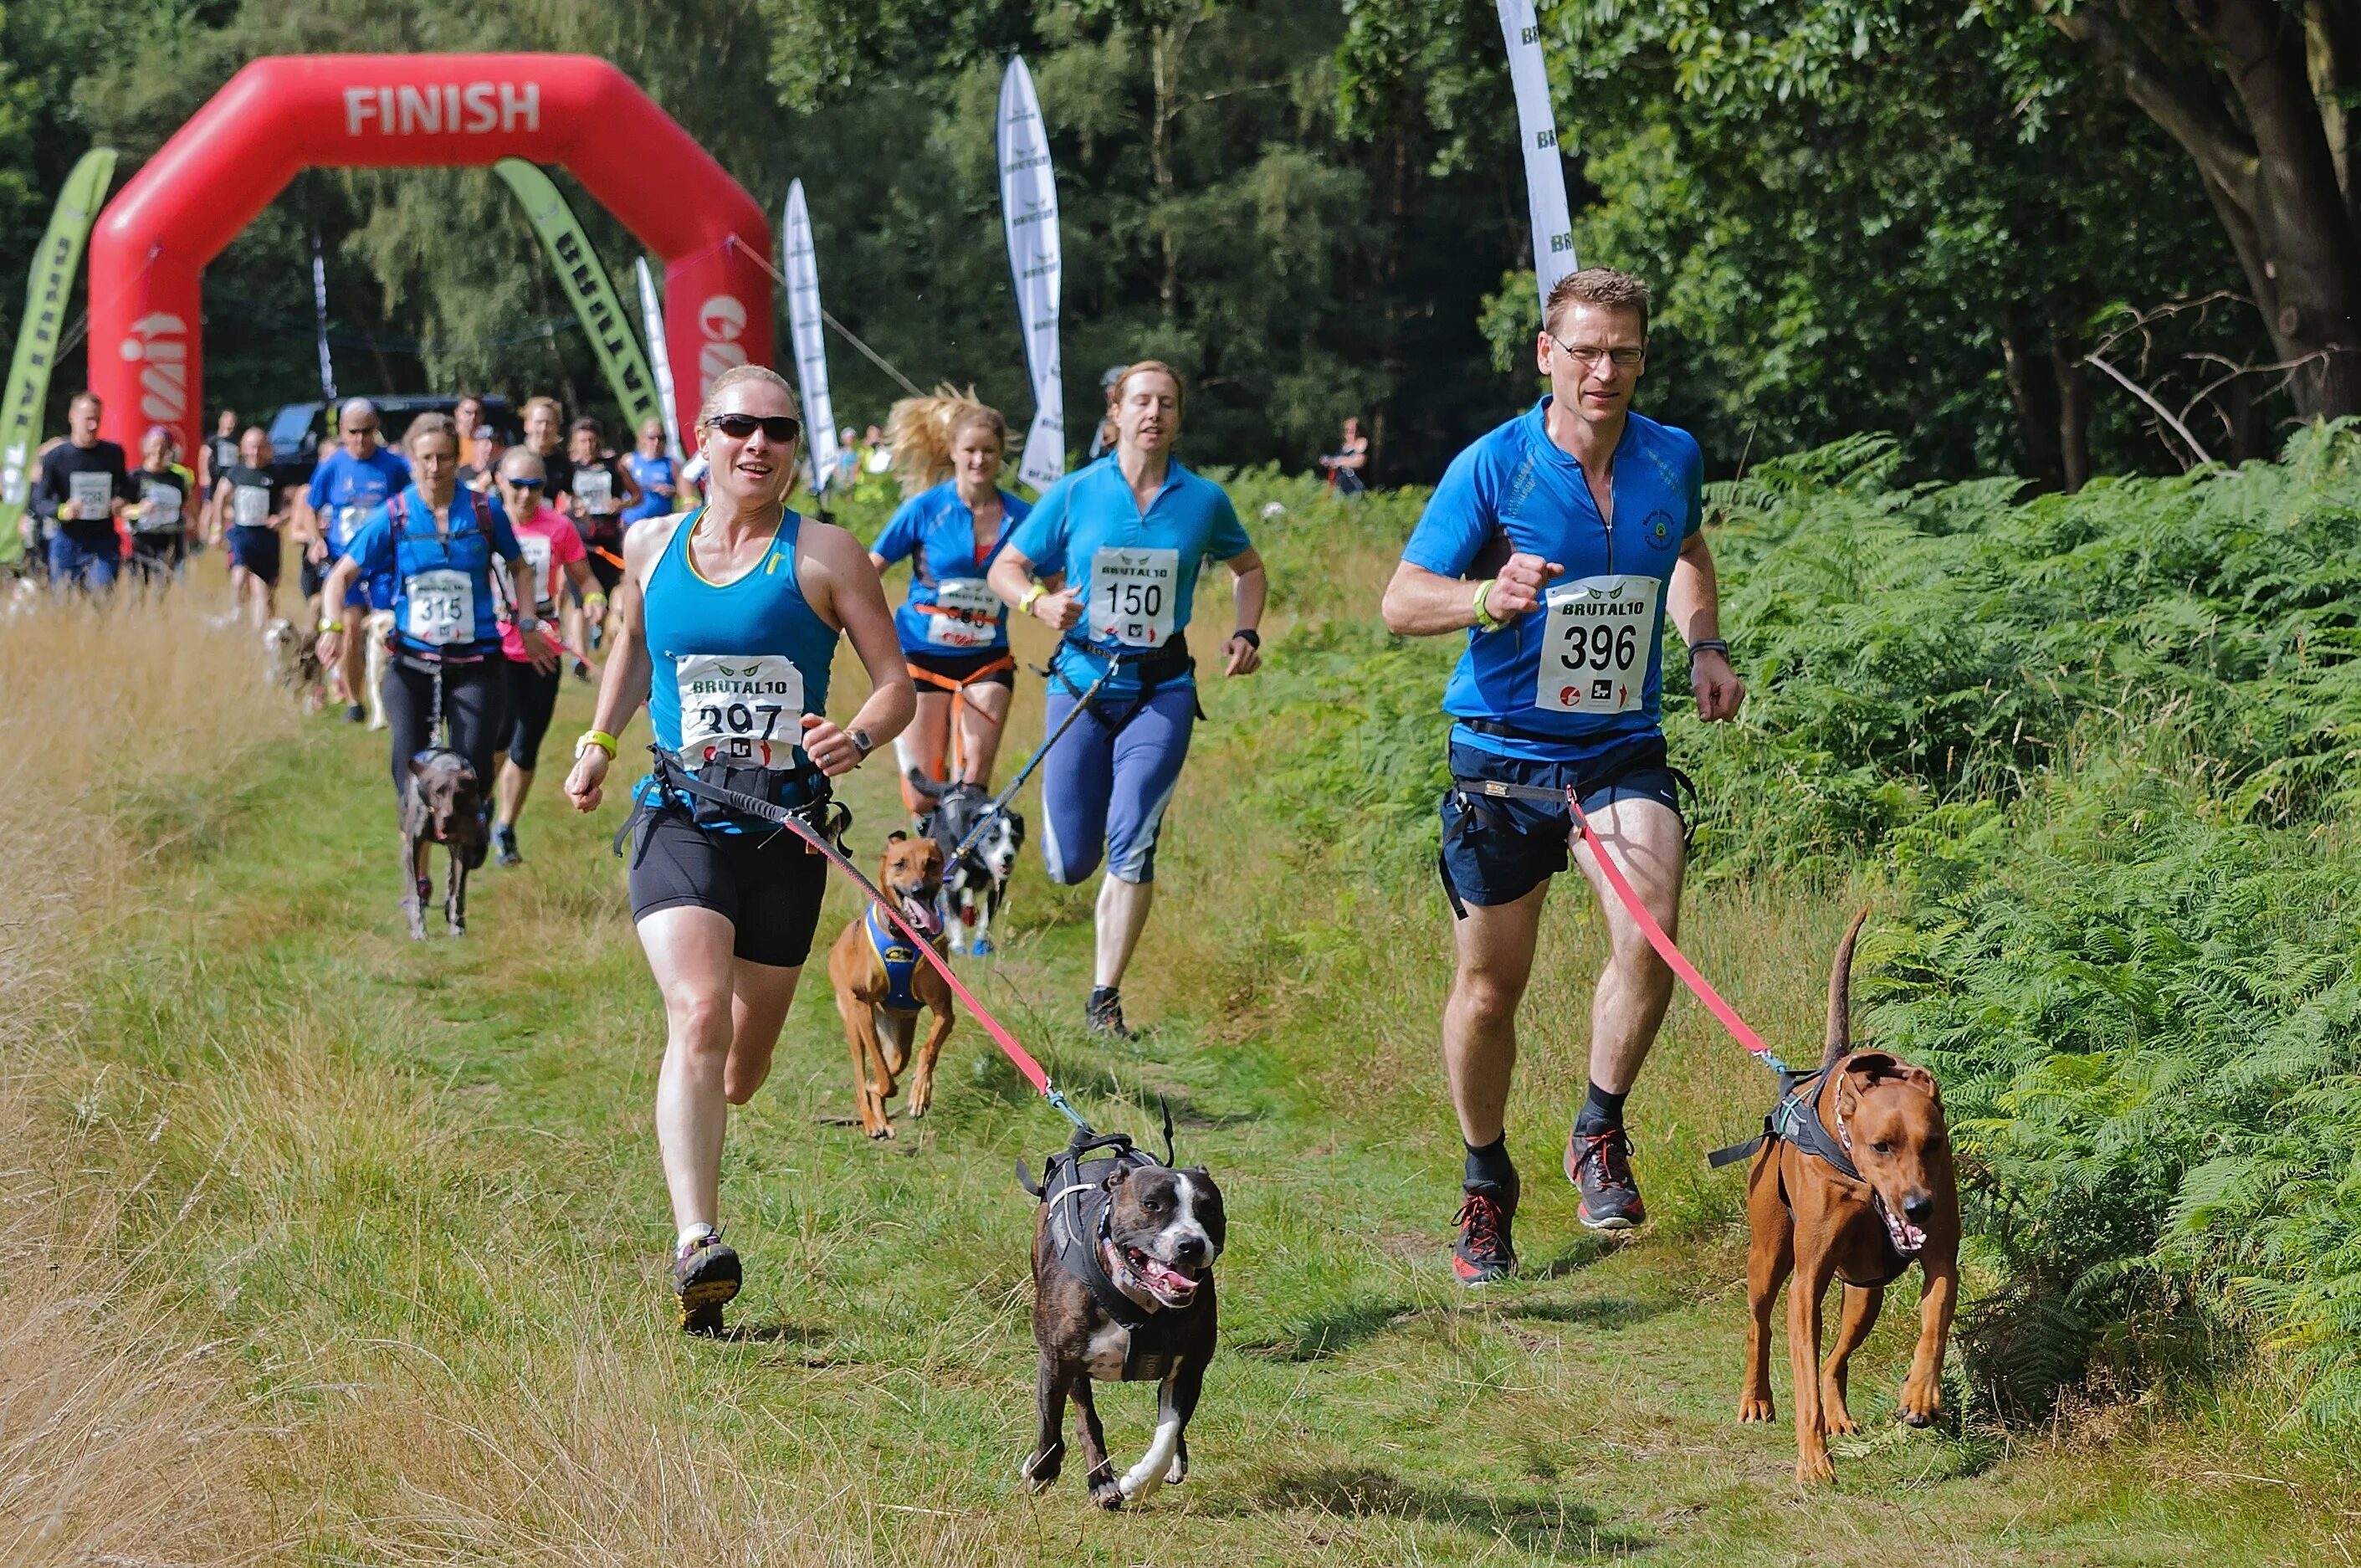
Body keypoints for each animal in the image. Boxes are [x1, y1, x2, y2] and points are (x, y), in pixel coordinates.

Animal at [822, 831, 949, 1138]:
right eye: (899, 864)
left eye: (932, 863)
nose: (918, 890)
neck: (904, 936)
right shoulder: (861, 1003)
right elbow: (881, 1073)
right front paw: (880, 1088)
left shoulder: (944, 1009)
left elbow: (929, 1048)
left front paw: (921, 1092)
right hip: (853, 1023)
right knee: (861, 1074)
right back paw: (871, 1120)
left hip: (899, 1040)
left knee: (894, 1063)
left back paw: (881, 1115)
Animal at [1728, 906, 1964, 1483]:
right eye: (1881, 1146)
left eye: (1933, 1143)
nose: (1919, 1207)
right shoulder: (1806, 1283)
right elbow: (1804, 1377)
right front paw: (1813, 1461)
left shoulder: (1940, 1254)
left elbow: (1935, 1321)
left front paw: (1920, 1394)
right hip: (1768, 1255)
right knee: (1760, 1324)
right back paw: (1757, 1398)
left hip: (1865, 1291)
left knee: (1837, 1359)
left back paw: (1840, 1414)